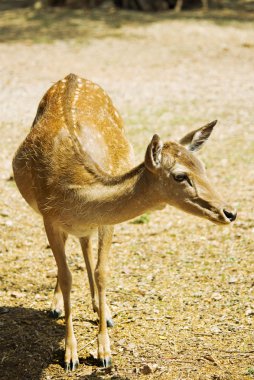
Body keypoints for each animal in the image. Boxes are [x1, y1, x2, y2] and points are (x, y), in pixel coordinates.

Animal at [12, 73, 237, 372]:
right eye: (180, 176)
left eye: (203, 167)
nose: (230, 212)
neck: (74, 192)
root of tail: (72, 76)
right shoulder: (49, 219)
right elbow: (67, 275)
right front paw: (71, 355)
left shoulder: (106, 222)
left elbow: (102, 272)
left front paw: (104, 350)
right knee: (72, 255)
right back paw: (58, 306)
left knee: (85, 245)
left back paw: (101, 310)